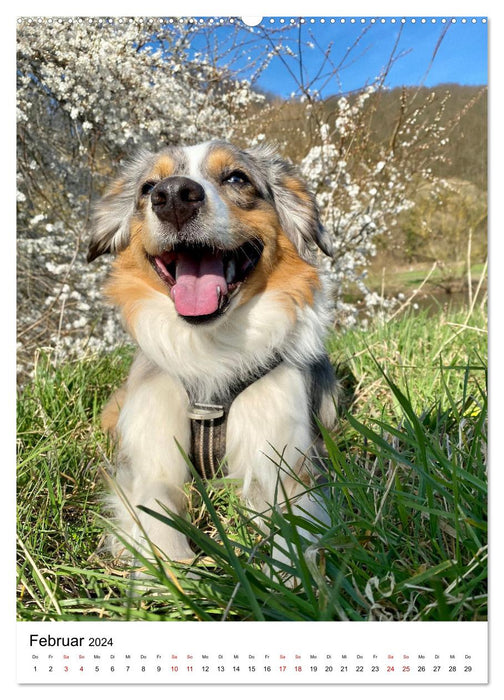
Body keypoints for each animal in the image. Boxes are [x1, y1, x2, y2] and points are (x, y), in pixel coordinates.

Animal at [87, 139, 346, 568]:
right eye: (148, 187)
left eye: (237, 178)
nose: (173, 196)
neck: (209, 350)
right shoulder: (150, 457)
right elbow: (157, 515)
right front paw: (175, 576)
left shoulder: (288, 462)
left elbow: (294, 530)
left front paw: (287, 577)